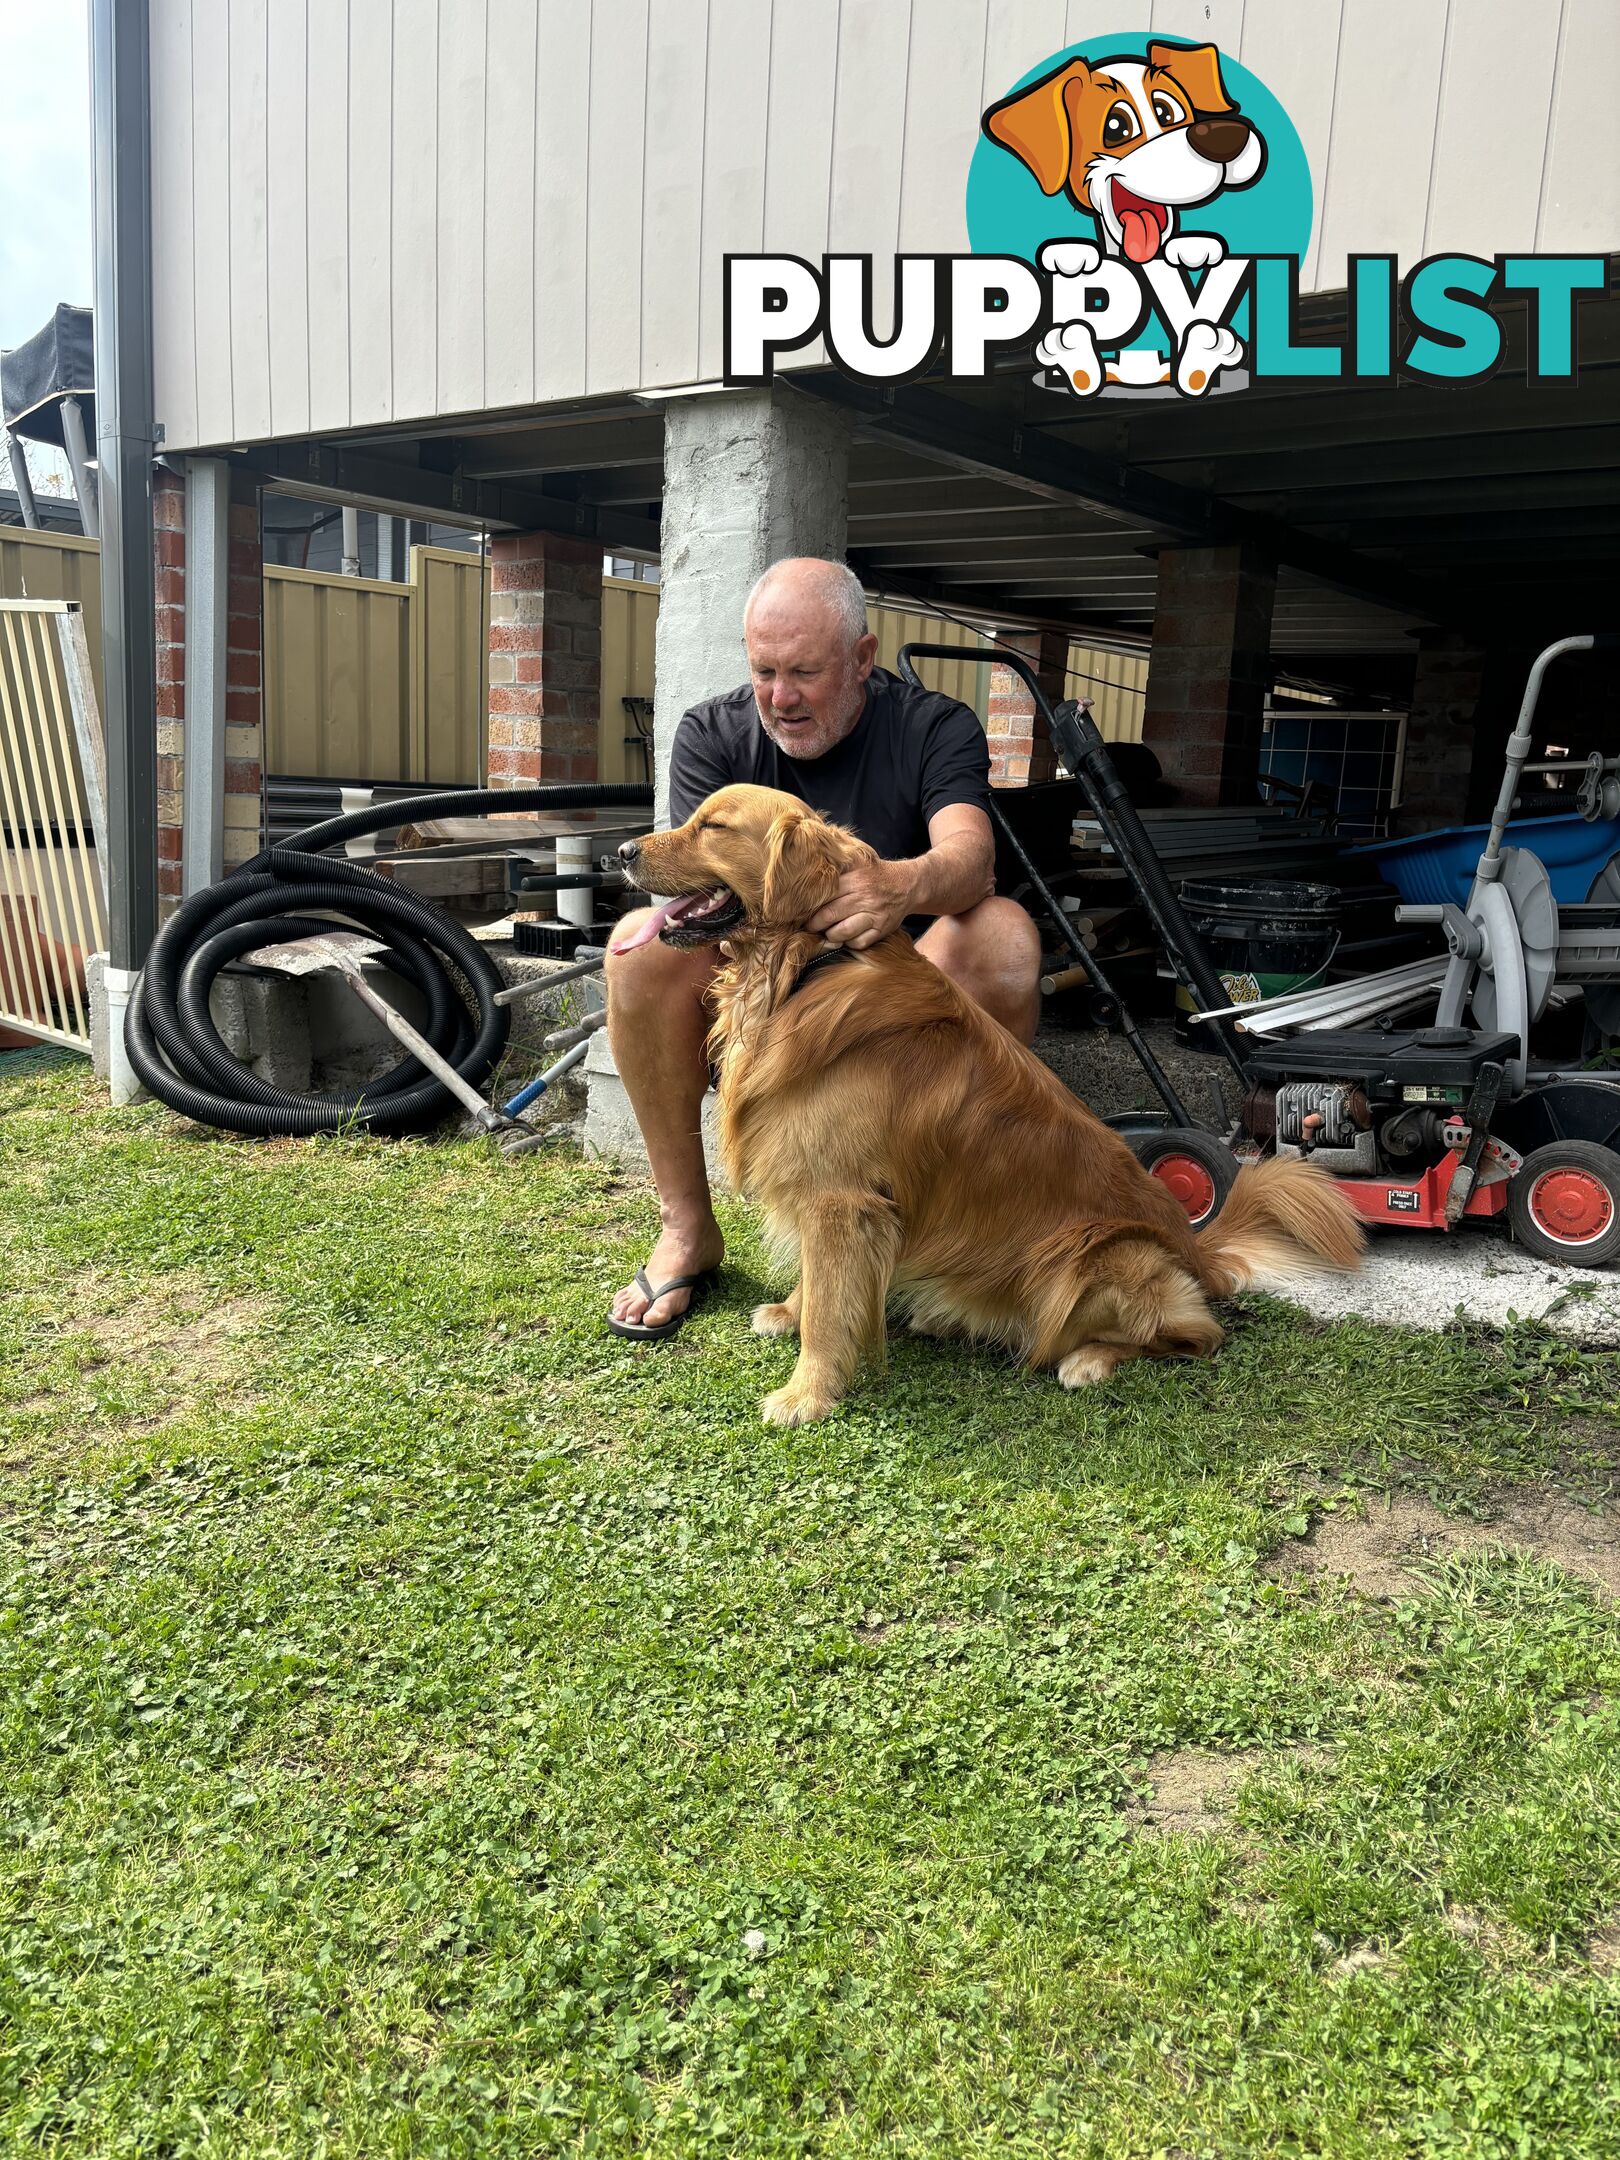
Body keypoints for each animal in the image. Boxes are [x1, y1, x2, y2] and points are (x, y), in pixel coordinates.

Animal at [613, 786, 1365, 1425]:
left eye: (713, 826)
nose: (621, 853)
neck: (804, 969)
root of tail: (1200, 1251)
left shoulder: (841, 1195)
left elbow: (831, 1304)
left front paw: (808, 1392)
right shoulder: (831, 1193)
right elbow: (823, 1280)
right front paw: (794, 1314)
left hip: (1094, 1258)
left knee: (1194, 1334)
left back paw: (1088, 1359)